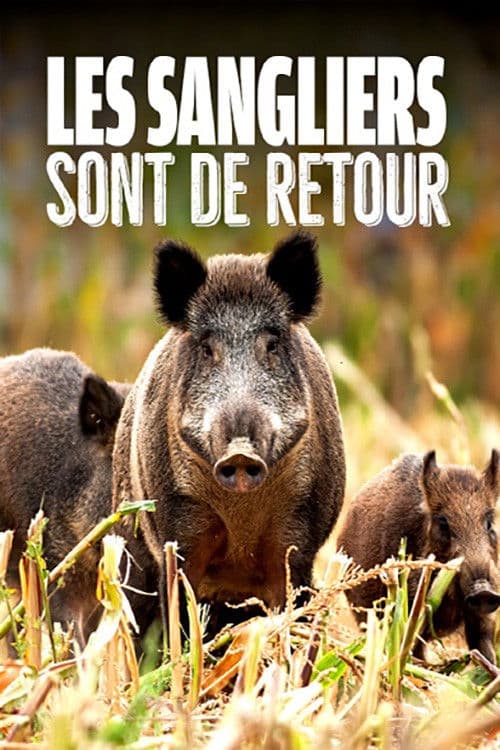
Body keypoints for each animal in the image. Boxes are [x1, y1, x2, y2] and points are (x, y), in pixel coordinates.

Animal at [113, 231, 346, 635]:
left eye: (272, 345)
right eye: (207, 348)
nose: (240, 451)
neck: (241, 520)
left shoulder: (299, 537)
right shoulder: (178, 530)